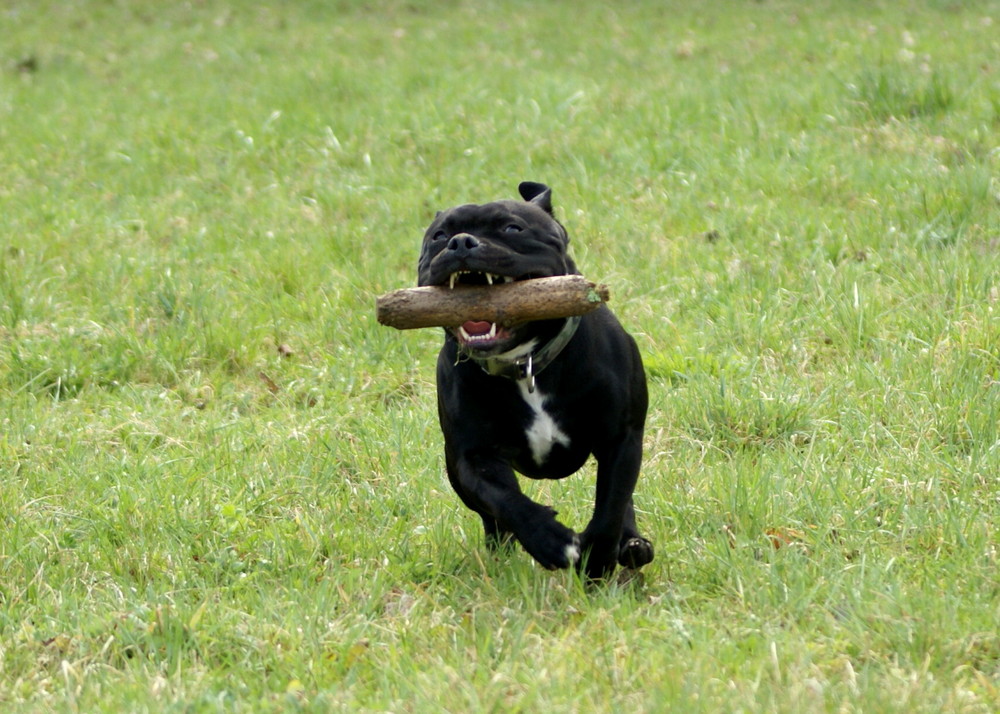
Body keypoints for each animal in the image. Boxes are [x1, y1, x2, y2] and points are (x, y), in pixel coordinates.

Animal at [416, 181, 656, 576]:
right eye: (438, 236)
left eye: (513, 228)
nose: (461, 242)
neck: (524, 362)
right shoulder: (471, 456)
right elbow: (505, 500)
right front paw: (551, 540)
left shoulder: (621, 439)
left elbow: (610, 507)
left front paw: (597, 562)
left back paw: (633, 545)